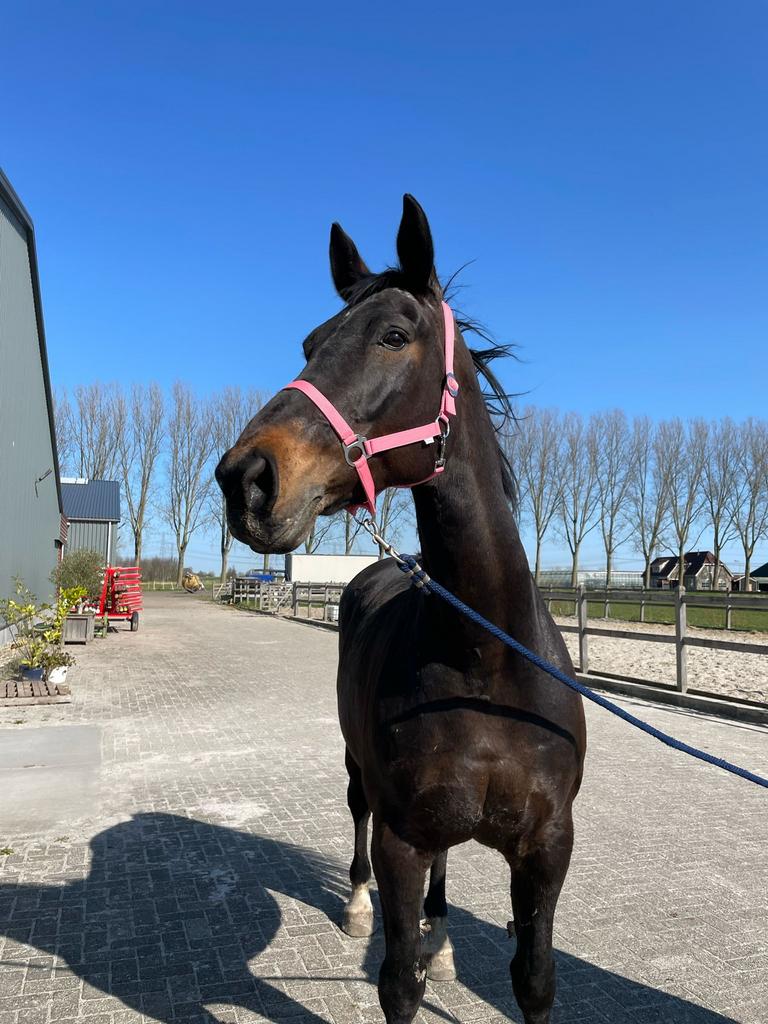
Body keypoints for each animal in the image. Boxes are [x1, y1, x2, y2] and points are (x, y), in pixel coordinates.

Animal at [215, 195, 587, 1024]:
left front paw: (444, 949)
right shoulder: (401, 840)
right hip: (361, 774)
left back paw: (443, 942)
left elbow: (536, 979)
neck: (485, 658)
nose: (246, 478)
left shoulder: (548, 849)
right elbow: (396, 982)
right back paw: (358, 905)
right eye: (310, 342)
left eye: (392, 335)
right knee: (356, 811)